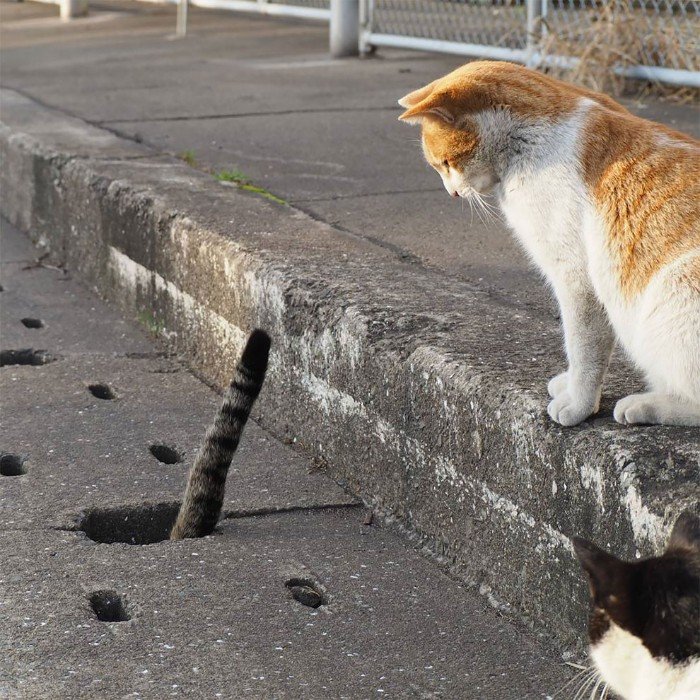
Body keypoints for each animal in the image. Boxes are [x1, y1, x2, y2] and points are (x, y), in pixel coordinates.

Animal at [400, 63, 700, 430]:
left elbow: (582, 348)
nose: (452, 193)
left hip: (675, 288)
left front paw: (580, 403)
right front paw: (569, 385)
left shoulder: (577, 279)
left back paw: (645, 404)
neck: (525, 143)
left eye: (444, 163)